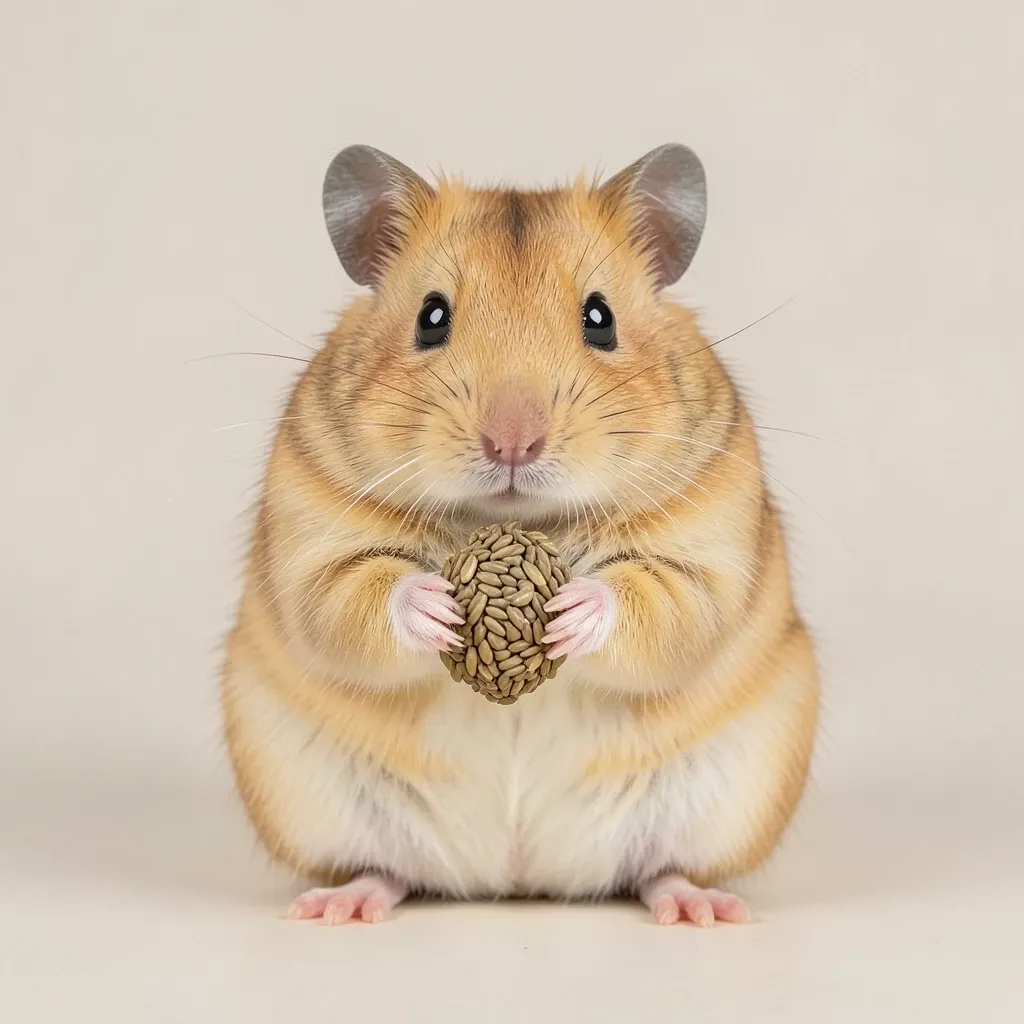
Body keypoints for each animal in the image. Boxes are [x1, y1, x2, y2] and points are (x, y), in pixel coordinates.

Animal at [220, 143, 820, 926]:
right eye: (431, 316)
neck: (515, 521)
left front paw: (571, 610)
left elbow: (666, 605)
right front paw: (438, 606)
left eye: (600, 318)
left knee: (658, 869)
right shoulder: (313, 541)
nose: (512, 444)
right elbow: (350, 597)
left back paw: (701, 910)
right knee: (387, 869)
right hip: (309, 798)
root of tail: (517, 878)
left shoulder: (707, 548)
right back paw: (338, 907)